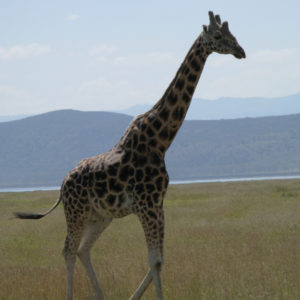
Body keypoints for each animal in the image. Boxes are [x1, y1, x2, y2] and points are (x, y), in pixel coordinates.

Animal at [14, 11, 246, 300]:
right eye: (217, 35)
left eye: (232, 34)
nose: (241, 51)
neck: (160, 141)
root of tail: (62, 184)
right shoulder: (147, 205)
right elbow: (155, 261)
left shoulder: (157, 204)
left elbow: (159, 260)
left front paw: (133, 297)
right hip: (76, 211)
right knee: (68, 249)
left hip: (100, 216)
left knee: (82, 249)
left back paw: (100, 295)